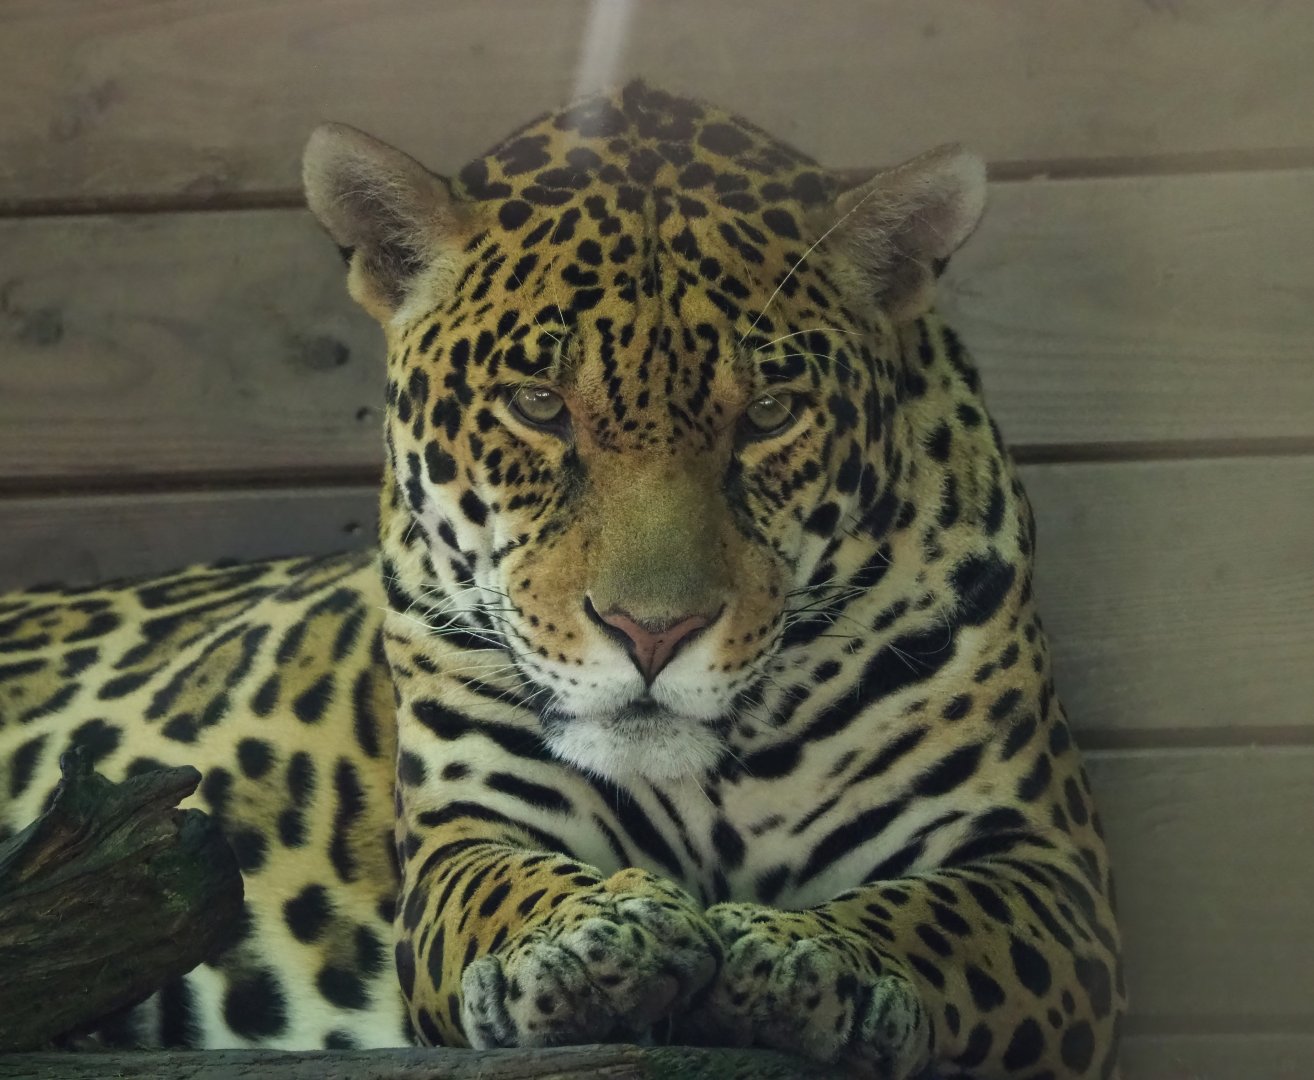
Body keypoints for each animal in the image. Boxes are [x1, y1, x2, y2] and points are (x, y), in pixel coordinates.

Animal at [0, 82, 1124, 1077]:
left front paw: (812, 956)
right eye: (539, 405)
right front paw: (590, 940)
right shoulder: (469, 830)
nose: (653, 634)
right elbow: (506, 887)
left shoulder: (1046, 868)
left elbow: (943, 922)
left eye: (769, 415)